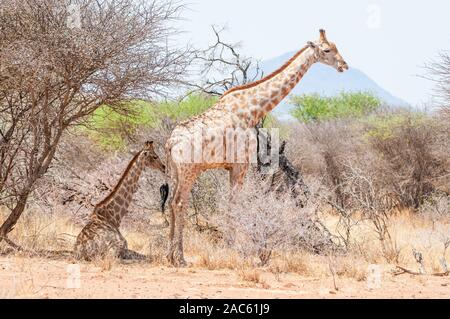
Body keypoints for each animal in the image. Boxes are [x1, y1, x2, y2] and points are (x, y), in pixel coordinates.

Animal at [164, 30, 348, 266]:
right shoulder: (241, 164)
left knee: (171, 202)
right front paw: (232, 249)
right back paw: (180, 258)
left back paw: (170, 255)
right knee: (179, 203)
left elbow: (231, 205)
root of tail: (171, 143)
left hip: (174, 171)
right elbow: (234, 205)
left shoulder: (231, 166)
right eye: (326, 50)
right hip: (189, 170)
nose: (344, 65)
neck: (251, 110)